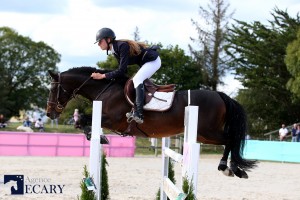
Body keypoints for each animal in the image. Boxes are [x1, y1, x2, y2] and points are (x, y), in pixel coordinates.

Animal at [46, 66, 255, 178]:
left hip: (208, 131)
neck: (106, 89)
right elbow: (81, 121)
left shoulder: (112, 120)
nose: (49, 113)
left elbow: (81, 119)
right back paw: (234, 169)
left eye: (53, 89)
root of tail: (221, 95)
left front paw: (97, 136)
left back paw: (227, 167)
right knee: (230, 141)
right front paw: (97, 136)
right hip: (203, 134)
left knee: (231, 140)